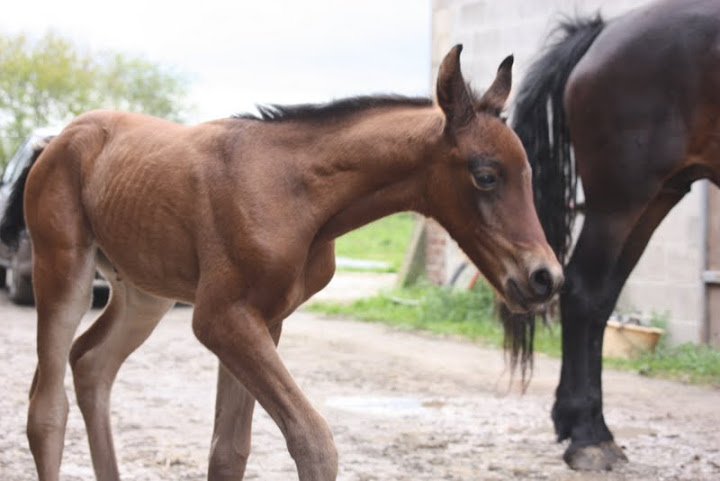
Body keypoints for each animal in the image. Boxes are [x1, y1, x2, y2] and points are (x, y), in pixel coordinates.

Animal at [0, 46, 564, 480]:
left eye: (529, 172)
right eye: (486, 175)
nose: (546, 277)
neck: (296, 191)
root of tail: (57, 138)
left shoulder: (264, 320)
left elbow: (229, 452)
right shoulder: (220, 318)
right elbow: (314, 441)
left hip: (145, 294)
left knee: (91, 363)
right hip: (63, 270)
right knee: (46, 408)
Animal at [512, 0, 720, 470]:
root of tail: (602, 33)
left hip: (656, 196)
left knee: (602, 297)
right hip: (622, 198)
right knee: (584, 292)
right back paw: (590, 437)